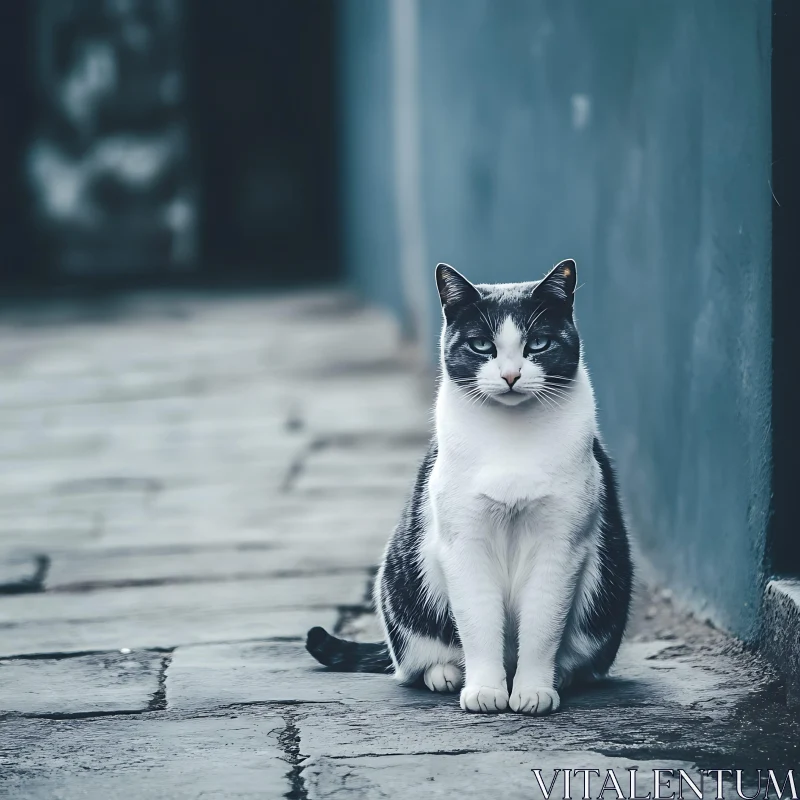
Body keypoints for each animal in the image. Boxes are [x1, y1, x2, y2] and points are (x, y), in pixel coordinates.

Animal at [306, 260, 632, 716]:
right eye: (481, 345)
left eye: (539, 343)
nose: (511, 375)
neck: (511, 437)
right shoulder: (464, 542)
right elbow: (478, 623)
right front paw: (485, 690)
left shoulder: (560, 545)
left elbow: (542, 625)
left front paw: (534, 690)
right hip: (403, 591)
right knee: (413, 661)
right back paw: (445, 674)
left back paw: (562, 675)